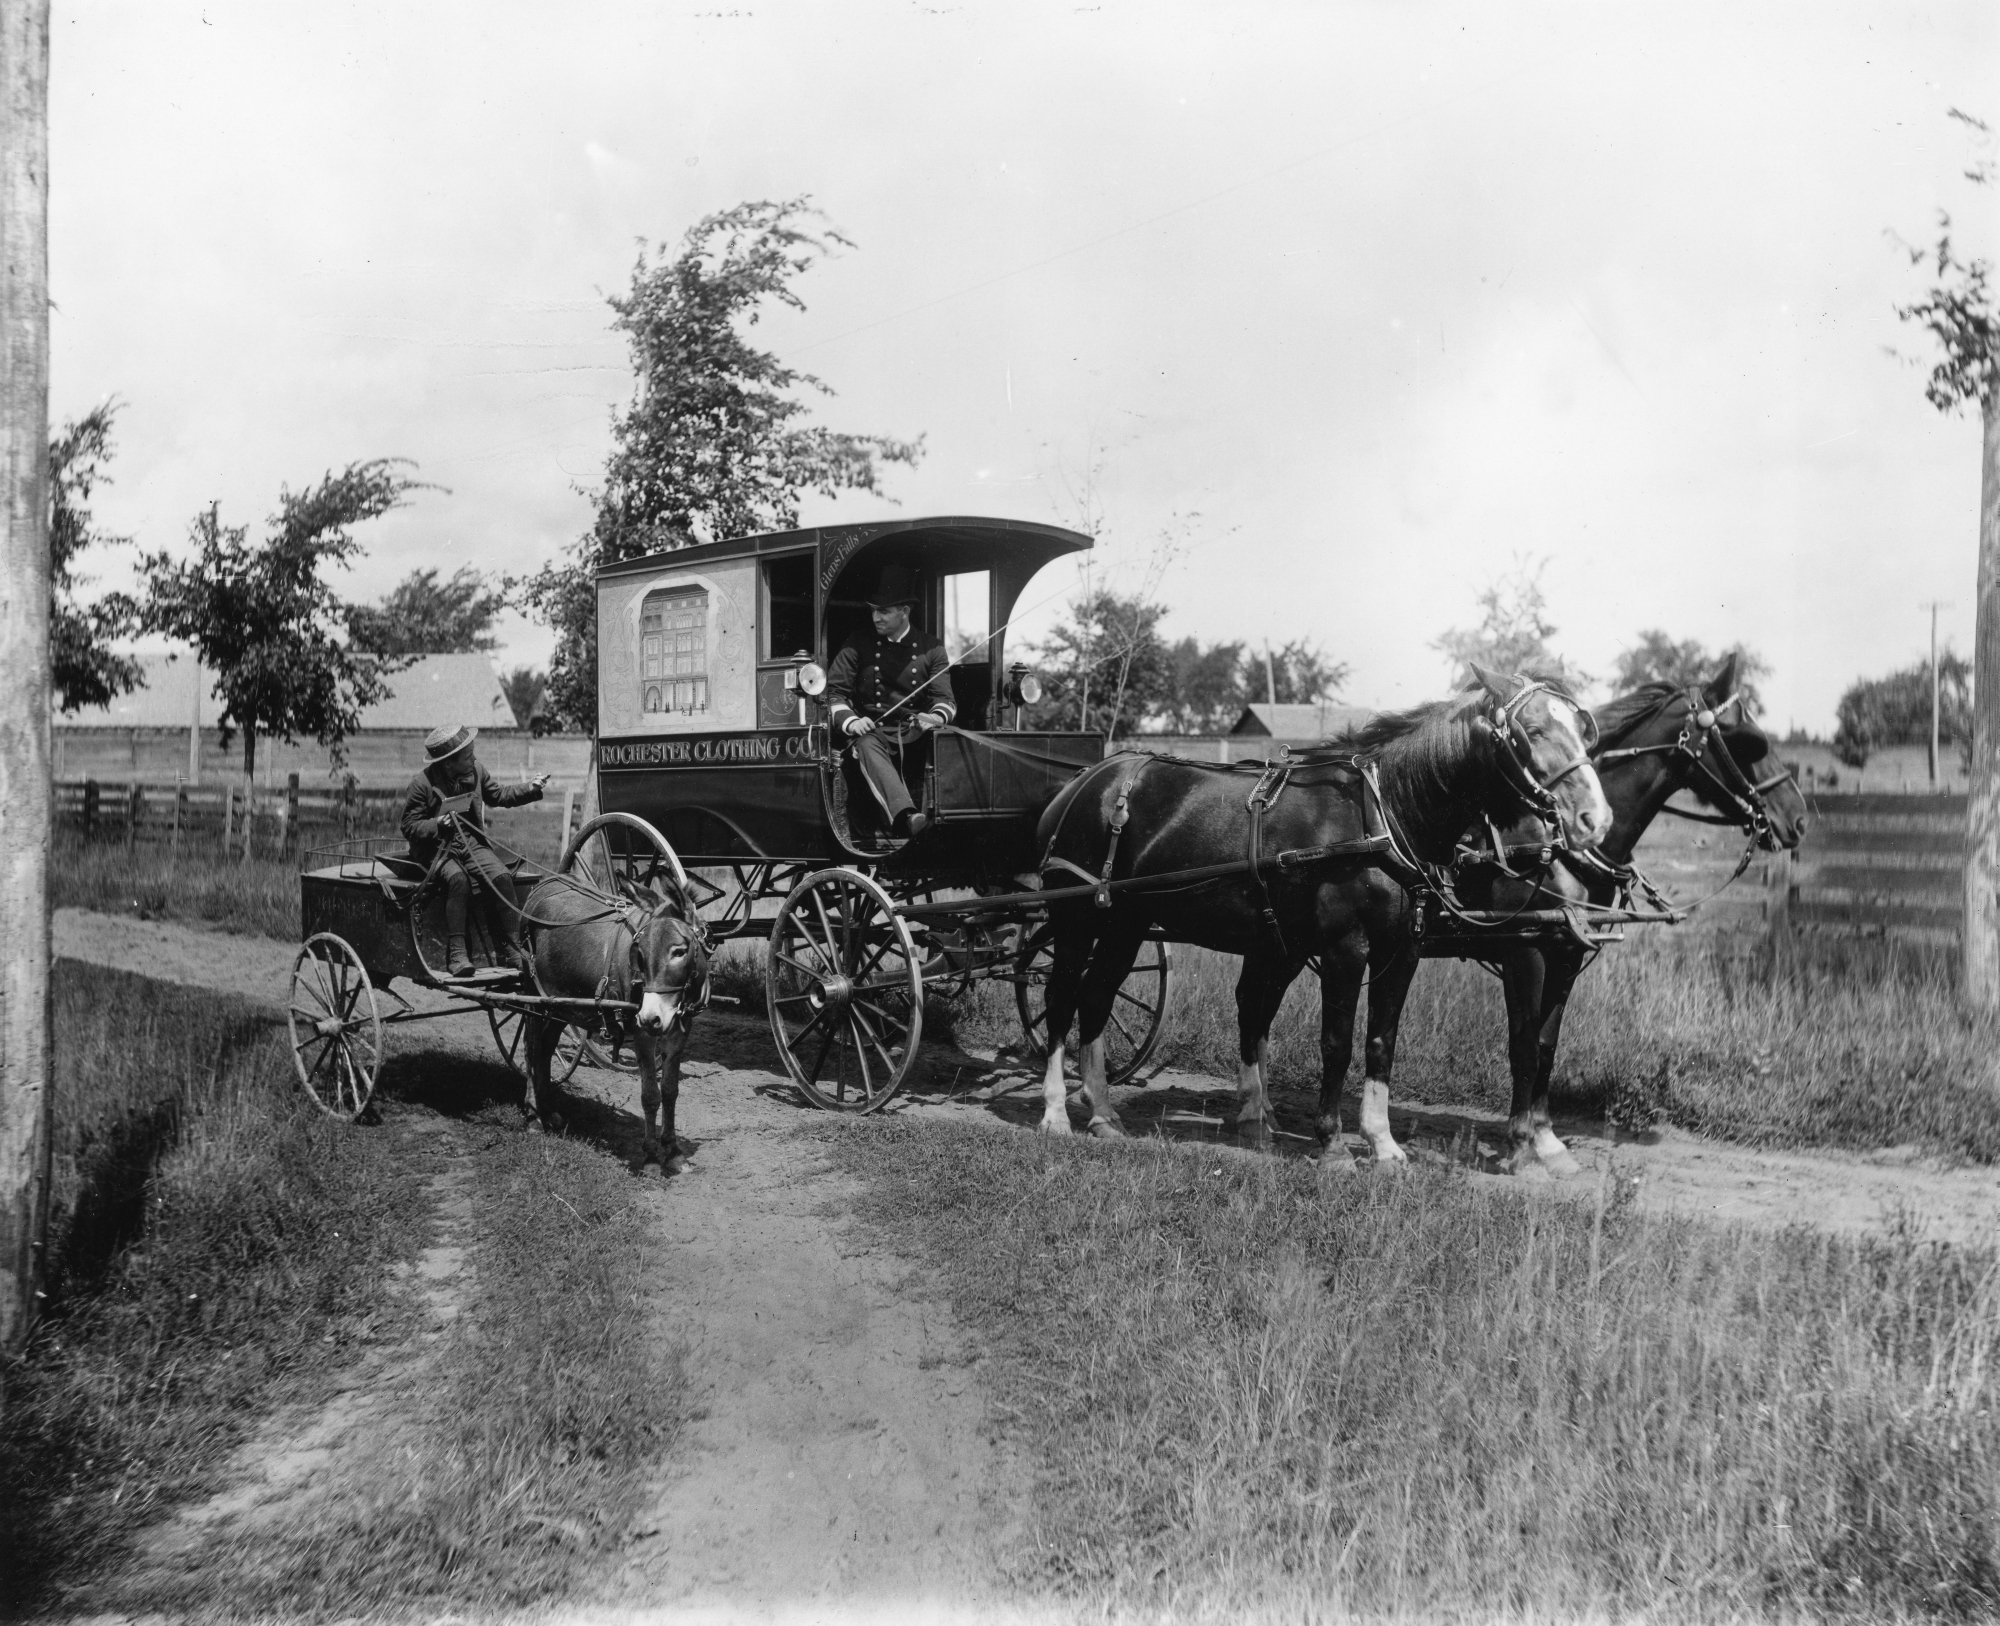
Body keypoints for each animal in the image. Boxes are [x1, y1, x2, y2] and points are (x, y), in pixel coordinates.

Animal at [516, 876, 712, 1168]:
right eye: (640, 953)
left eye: (679, 951)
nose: (650, 1017)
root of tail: (543, 885)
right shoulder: (642, 1034)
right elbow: (650, 1095)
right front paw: (651, 1157)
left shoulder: (680, 1033)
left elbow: (670, 1091)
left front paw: (673, 1151)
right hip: (534, 998)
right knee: (532, 1049)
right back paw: (533, 1117)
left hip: (560, 1005)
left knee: (546, 1050)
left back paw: (548, 1112)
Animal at [1032, 664, 1608, 1168]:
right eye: (1534, 730)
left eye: (1584, 732)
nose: (1595, 819)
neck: (1383, 815)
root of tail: (1084, 782)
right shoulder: (1345, 948)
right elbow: (1337, 1044)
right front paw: (1332, 1145)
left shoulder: (1403, 950)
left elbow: (1381, 1043)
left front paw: (1383, 1144)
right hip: (1075, 919)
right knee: (1061, 999)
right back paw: (1057, 1112)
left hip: (1126, 924)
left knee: (1097, 996)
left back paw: (1104, 1114)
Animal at [1440, 652, 1816, 1176]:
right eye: (1749, 742)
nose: (1798, 818)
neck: (1553, 842)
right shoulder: (1525, 951)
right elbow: (1522, 1046)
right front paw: (1519, 1145)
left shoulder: (1566, 954)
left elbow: (1546, 1045)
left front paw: (1546, 1140)